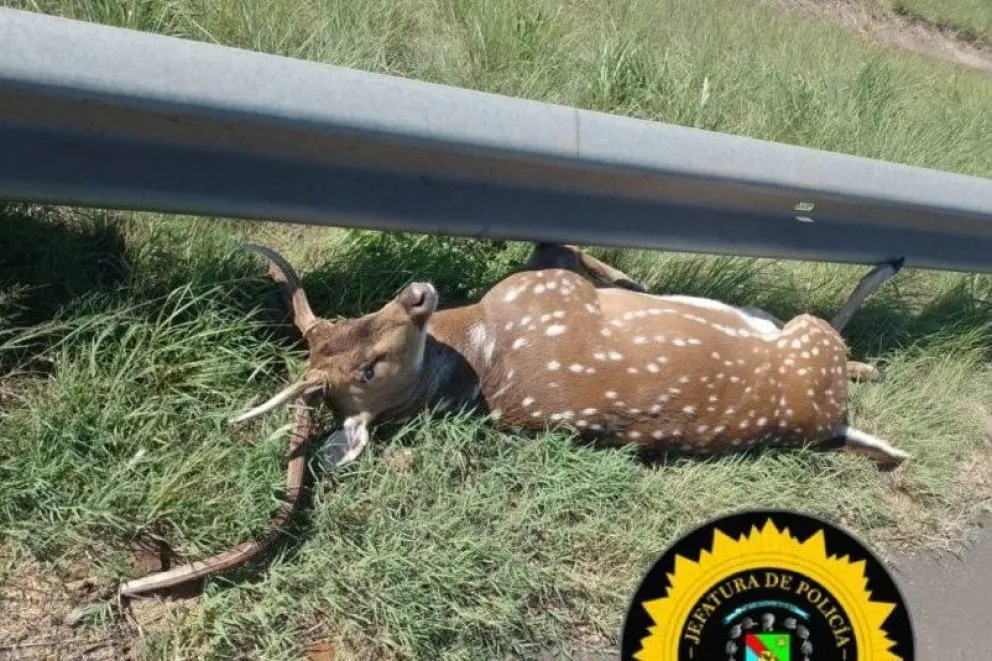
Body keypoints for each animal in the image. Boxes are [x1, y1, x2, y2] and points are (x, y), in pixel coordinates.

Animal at [112, 242, 906, 600]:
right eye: (364, 370)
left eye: (355, 326)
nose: (417, 292)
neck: (478, 349)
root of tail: (825, 418)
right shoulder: (550, 284)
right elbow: (586, 263)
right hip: (810, 343)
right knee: (834, 328)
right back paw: (882, 280)